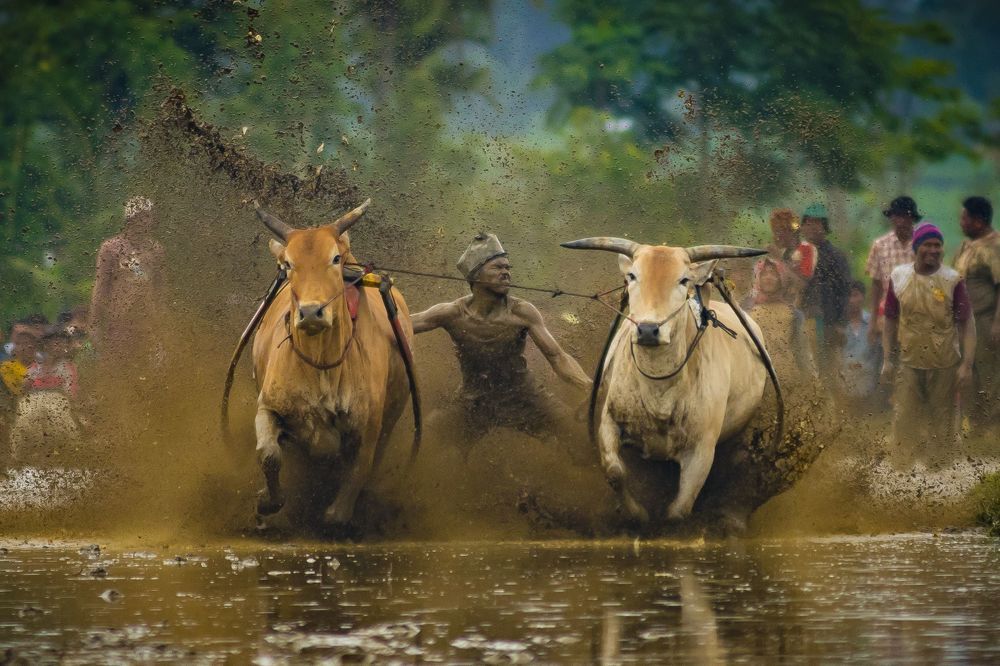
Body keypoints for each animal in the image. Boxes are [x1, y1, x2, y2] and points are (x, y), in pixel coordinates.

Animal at [250, 199, 414, 528]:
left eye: (335, 258)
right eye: (288, 264)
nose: (311, 312)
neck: (321, 366)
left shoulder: (369, 428)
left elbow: (354, 483)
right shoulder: (268, 405)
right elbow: (269, 454)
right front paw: (267, 502)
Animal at [562, 237, 769, 526]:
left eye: (683, 280)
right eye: (632, 276)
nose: (648, 329)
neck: (659, 391)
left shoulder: (701, 451)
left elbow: (679, 511)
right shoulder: (610, 421)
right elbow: (615, 472)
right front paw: (637, 514)